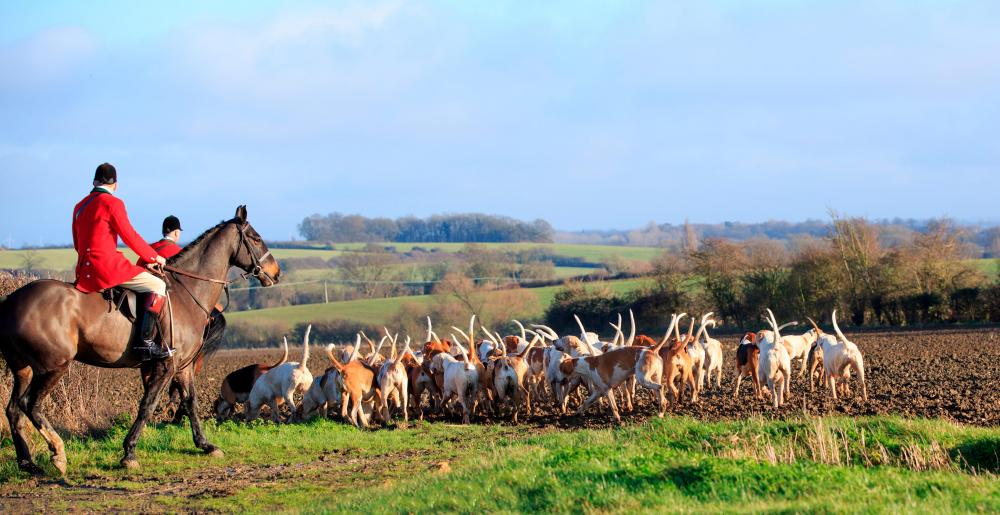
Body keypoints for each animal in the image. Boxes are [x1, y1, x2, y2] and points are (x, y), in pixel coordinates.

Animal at [0, 205, 282, 476]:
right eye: (256, 238)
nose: (276, 273)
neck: (187, 292)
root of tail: (10, 301)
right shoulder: (166, 365)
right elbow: (148, 404)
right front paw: (129, 452)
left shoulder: (183, 366)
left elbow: (190, 401)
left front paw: (205, 445)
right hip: (53, 366)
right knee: (30, 404)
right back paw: (58, 453)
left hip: (23, 368)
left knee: (13, 410)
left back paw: (28, 463)